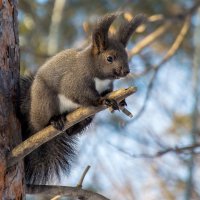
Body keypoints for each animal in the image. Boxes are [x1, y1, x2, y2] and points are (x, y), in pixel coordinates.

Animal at [19, 12, 145, 184]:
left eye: (126, 55)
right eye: (109, 58)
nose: (126, 71)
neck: (99, 77)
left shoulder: (107, 86)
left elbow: (108, 92)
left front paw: (121, 101)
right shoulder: (74, 81)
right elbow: (81, 94)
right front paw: (102, 101)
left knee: (71, 132)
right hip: (44, 101)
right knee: (42, 123)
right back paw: (55, 120)